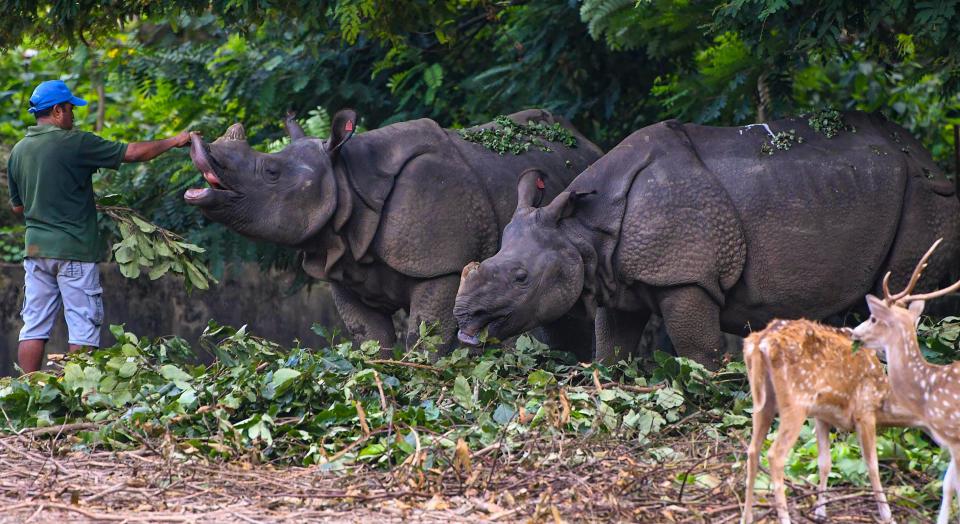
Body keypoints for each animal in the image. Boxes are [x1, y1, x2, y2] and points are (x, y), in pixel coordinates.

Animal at [740, 320, 912, 524]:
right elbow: (872, 464)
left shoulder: (821, 416)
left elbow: (825, 463)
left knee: (752, 451)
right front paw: (887, 515)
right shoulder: (865, 412)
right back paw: (784, 518)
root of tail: (761, 343)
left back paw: (746, 517)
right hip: (796, 402)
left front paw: (820, 512)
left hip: (762, 402)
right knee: (775, 455)